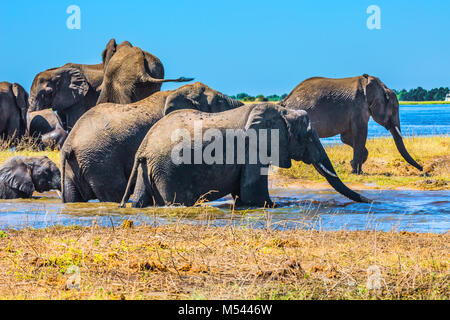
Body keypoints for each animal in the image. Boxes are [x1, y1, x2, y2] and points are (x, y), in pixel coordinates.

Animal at [61, 82, 243, 202]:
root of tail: (69, 144)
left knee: (73, 196)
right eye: (219, 102)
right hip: (99, 160)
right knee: (114, 191)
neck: (178, 90)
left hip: (76, 165)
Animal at [119, 102, 370, 208]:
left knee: (141, 201)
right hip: (169, 169)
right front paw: (274, 206)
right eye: (308, 136)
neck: (281, 111)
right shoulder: (253, 150)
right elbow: (252, 195)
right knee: (176, 201)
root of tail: (144, 146)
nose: (371, 201)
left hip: (148, 167)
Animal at [280, 74, 424, 174]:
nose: (422, 169)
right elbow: (360, 133)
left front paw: (353, 166)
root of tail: (285, 100)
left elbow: (346, 137)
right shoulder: (358, 106)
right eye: (394, 109)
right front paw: (357, 171)